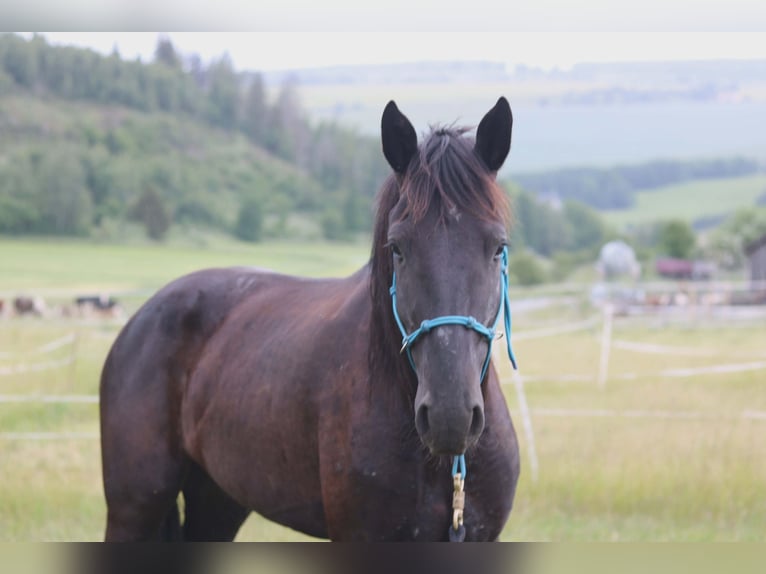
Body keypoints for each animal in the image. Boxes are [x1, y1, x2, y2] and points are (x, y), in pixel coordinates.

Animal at [100, 97, 521, 542]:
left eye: (498, 247)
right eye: (398, 248)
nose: (449, 416)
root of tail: (139, 320)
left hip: (217, 500)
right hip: (133, 508)